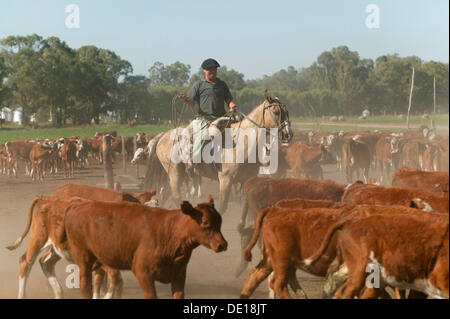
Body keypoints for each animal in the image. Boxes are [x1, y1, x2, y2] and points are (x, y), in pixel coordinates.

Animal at [62, 196, 229, 298]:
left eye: (220, 221)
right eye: (205, 223)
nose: (222, 244)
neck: (171, 232)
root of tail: (77, 205)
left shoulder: (179, 275)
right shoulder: (143, 272)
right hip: (82, 257)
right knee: (85, 285)